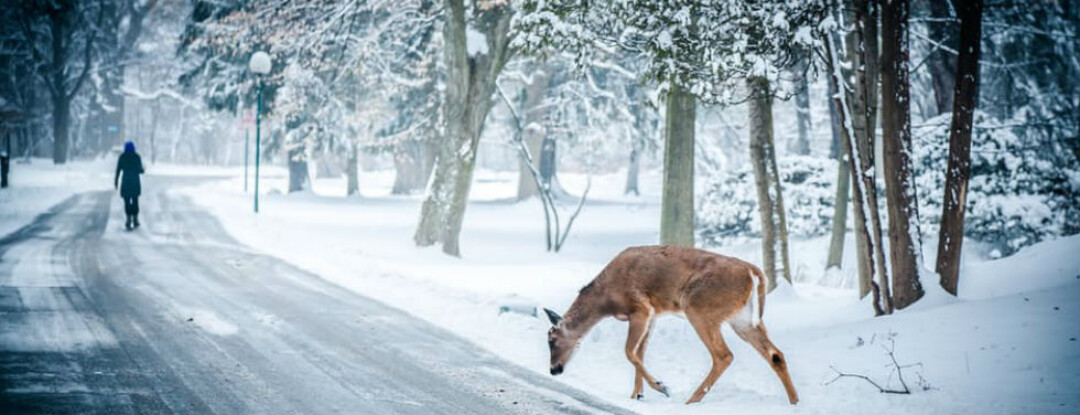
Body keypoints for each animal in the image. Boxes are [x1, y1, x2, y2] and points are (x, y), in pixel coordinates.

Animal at [544, 244, 799, 404]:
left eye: (552, 340)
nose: (553, 370)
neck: (605, 299)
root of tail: (754, 273)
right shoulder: (653, 315)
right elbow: (640, 353)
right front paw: (637, 395)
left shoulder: (641, 307)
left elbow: (629, 352)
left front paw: (661, 386)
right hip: (743, 319)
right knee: (775, 354)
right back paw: (795, 401)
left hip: (699, 307)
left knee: (723, 355)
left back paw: (691, 400)